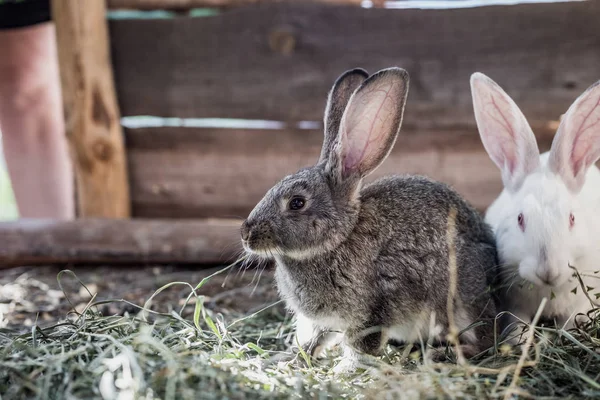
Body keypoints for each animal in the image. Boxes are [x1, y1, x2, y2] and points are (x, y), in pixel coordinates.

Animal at [241, 67, 500, 370]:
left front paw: (344, 370)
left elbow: (360, 345)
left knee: (485, 340)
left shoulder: (374, 308)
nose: (246, 234)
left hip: (461, 297)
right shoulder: (323, 321)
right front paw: (288, 359)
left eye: (296, 203)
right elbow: (315, 339)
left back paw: (443, 354)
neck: (338, 240)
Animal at [474, 73, 600, 330]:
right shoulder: (513, 307)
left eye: (572, 218)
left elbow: (568, 325)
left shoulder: (577, 307)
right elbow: (517, 327)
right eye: (520, 219)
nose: (547, 270)